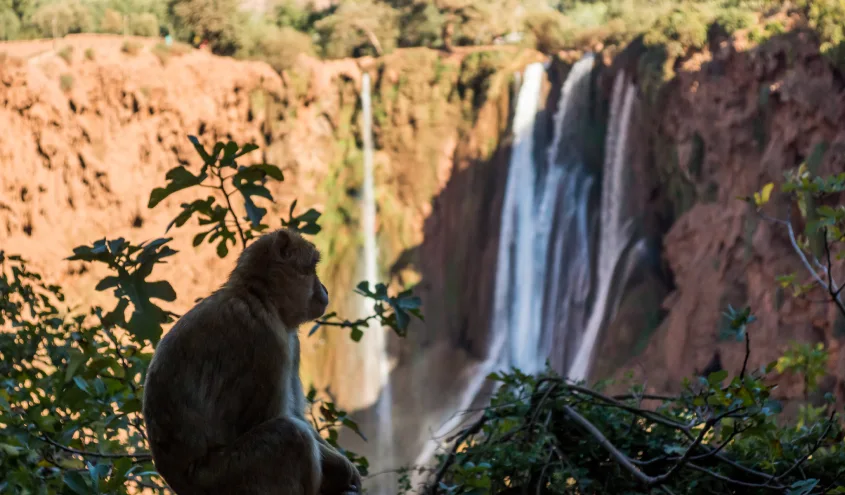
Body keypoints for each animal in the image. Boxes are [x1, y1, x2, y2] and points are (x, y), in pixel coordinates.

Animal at [139, 230, 362, 495]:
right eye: (311, 270)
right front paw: (341, 469)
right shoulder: (266, 338)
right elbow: (269, 418)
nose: (325, 289)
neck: (259, 296)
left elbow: (296, 413)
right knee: (292, 436)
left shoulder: (290, 343)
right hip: (227, 478)